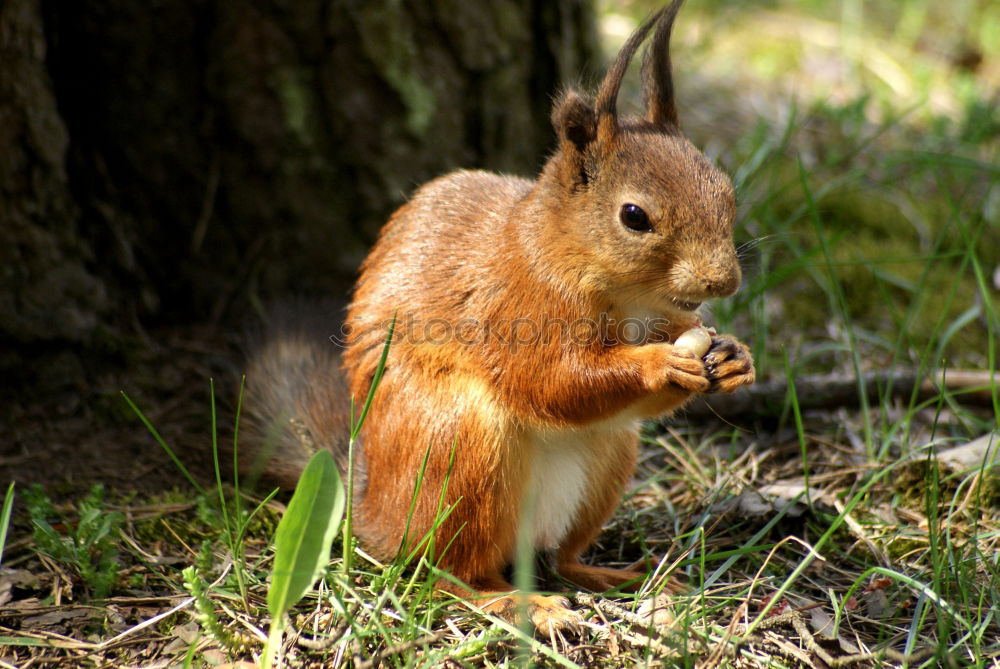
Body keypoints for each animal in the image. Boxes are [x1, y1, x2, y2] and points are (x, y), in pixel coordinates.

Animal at [244, 0, 752, 636]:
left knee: (559, 557)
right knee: (445, 576)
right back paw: (519, 604)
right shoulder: (515, 305)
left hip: (607, 460)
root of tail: (377, 511)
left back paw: (612, 577)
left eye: (727, 192)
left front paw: (733, 357)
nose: (723, 282)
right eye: (634, 216)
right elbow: (553, 381)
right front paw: (660, 364)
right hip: (457, 445)